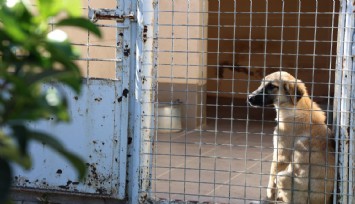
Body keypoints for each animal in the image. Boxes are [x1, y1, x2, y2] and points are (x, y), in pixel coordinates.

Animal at [249, 71, 336, 202]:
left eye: (272, 86)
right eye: (261, 84)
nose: (249, 98)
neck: (293, 107)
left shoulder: (281, 155)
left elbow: (271, 178)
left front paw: (269, 195)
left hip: (283, 177)